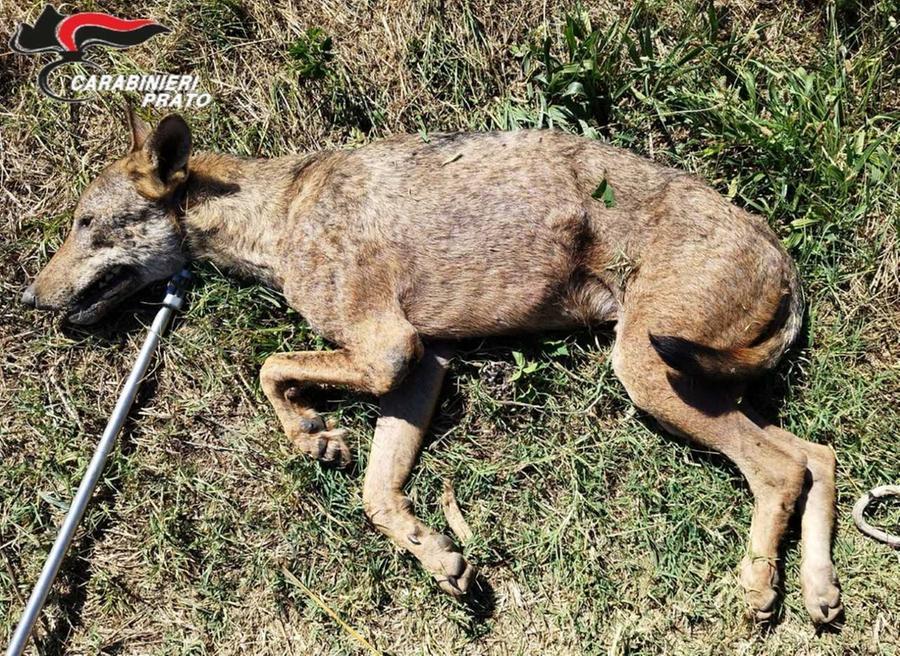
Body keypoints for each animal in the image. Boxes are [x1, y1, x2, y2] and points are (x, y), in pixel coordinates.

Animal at [21, 109, 842, 624]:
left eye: (87, 225)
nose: (28, 297)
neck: (278, 212)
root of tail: (780, 252)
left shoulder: (390, 354)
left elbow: (270, 366)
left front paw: (308, 431)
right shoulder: (421, 370)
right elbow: (375, 494)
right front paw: (435, 554)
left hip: (648, 372)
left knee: (779, 469)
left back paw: (760, 584)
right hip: (698, 383)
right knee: (818, 454)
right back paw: (819, 589)